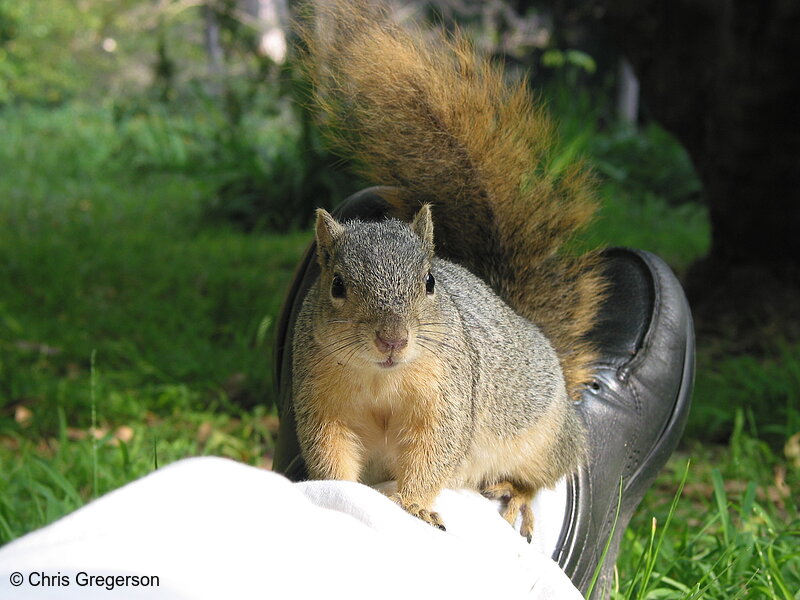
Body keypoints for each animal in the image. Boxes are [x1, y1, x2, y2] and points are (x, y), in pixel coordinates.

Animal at [290, 0, 608, 540]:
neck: (382, 379)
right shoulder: (321, 398)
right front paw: (336, 498)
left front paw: (414, 506)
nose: (392, 340)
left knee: (544, 474)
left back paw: (517, 495)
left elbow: (433, 451)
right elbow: (329, 451)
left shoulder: (448, 394)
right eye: (336, 285)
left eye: (430, 282)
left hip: (543, 437)